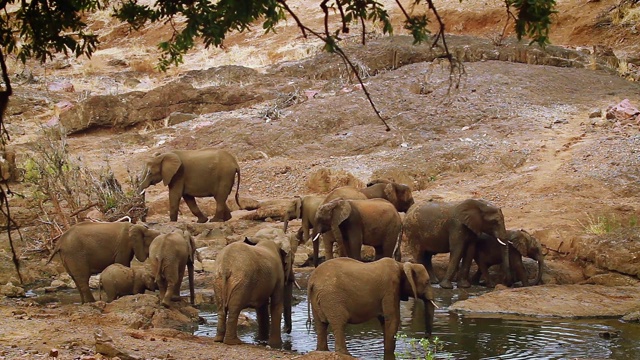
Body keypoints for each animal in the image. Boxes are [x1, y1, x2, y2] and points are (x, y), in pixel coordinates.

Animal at [308, 258, 438, 360]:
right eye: (427, 282)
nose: (425, 337)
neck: (401, 264)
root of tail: (312, 280)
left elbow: (384, 320)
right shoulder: (391, 288)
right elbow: (392, 319)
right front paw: (389, 353)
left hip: (319, 299)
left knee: (321, 324)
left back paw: (322, 351)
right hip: (332, 298)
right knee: (339, 323)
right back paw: (347, 354)